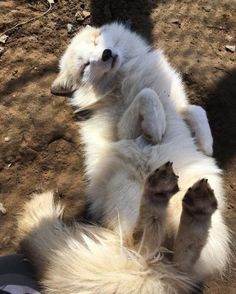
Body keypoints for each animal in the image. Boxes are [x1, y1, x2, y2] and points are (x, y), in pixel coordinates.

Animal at [18, 23, 230, 294]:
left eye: (97, 42)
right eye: (85, 66)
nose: (106, 54)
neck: (124, 79)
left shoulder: (179, 105)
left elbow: (195, 109)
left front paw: (206, 142)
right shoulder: (122, 131)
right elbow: (148, 96)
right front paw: (156, 126)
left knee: (182, 259)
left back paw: (195, 209)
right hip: (126, 193)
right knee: (142, 244)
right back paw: (159, 196)